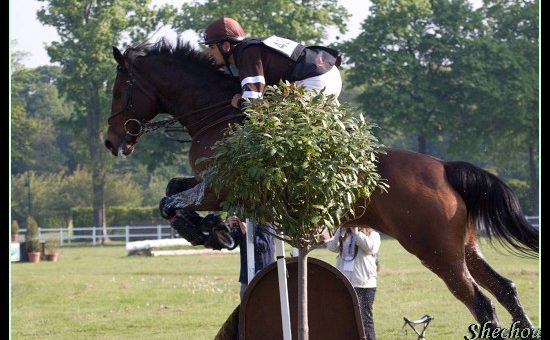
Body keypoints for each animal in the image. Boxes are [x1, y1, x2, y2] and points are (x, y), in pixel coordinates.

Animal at [104, 38, 540, 330]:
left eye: (119, 90)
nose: (111, 142)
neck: (217, 115)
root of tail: (445, 167)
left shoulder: (221, 187)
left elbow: (173, 201)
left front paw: (207, 229)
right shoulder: (212, 185)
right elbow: (172, 188)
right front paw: (215, 231)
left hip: (435, 250)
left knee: (480, 302)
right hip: (462, 246)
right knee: (504, 288)